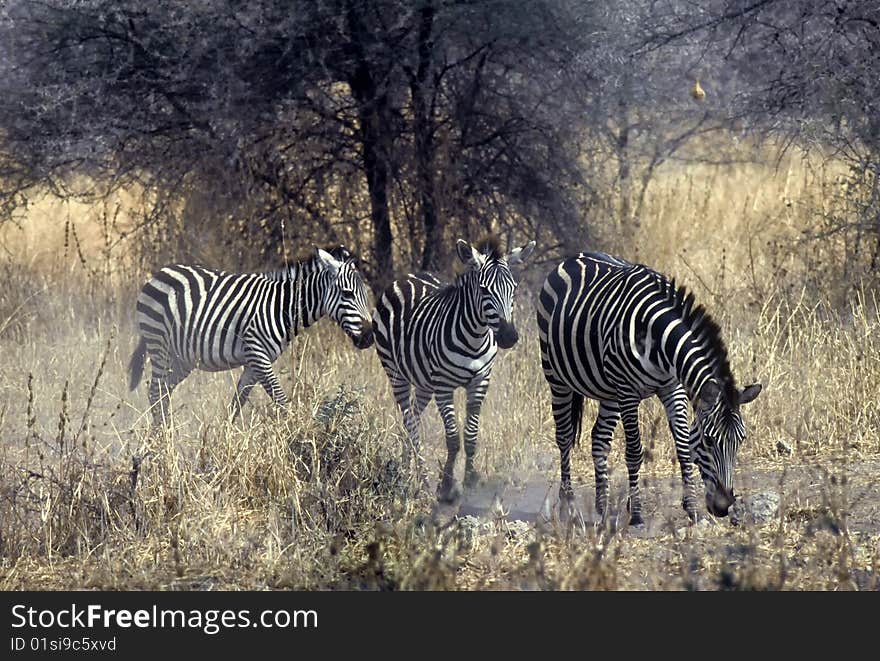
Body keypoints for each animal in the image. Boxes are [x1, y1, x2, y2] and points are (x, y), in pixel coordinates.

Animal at [129, 246, 372, 422]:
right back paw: (162, 443)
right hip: (159, 345)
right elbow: (281, 401)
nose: (369, 337)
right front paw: (296, 437)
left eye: (365, 294)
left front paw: (224, 440)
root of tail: (160, 273)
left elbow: (237, 403)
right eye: (347, 294)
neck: (281, 307)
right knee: (155, 392)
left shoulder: (255, 362)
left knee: (164, 392)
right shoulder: (258, 354)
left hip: (183, 358)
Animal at [372, 237, 536, 500]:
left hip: (423, 383)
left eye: (513, 289)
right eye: (484, 290)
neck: (475, 337)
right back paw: (421, 480)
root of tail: (408, 276)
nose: (509, 337)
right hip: (395, 373)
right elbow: (452, 439)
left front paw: (469, 479)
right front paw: (446, 486)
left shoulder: (480, 381)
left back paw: (406, 470)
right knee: (410, 422)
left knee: (413, 419)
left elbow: (470, 435)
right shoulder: (443, 387)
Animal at [536, 250, 764, 524]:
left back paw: (602, 507)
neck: (658, 338)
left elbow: (683, 447)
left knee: (599, 438)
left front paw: (692, 509)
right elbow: (635, 452)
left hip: (609, 391)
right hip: (557, 377)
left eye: (741, 440)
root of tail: (577, 255)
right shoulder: (628, 392)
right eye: (709, 441)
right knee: (564, 437)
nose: (722, 507)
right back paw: (567, 504)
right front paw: (636, 513)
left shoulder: (673, 389)